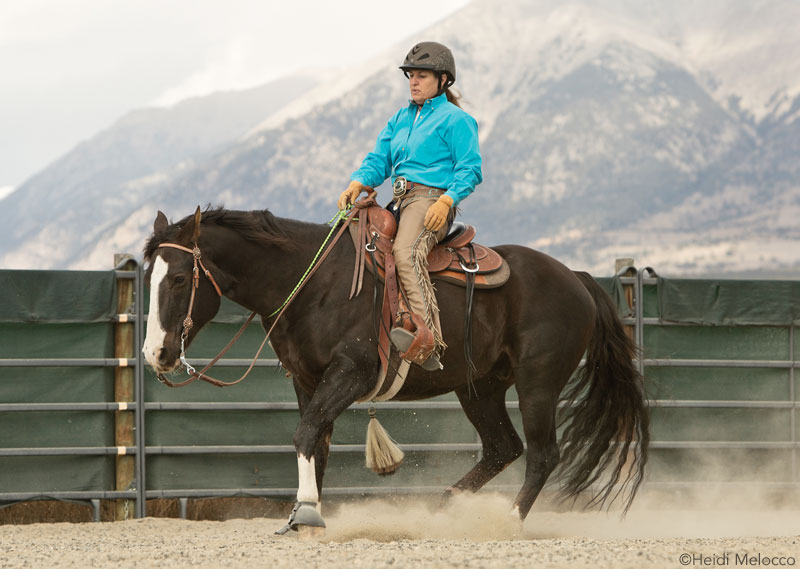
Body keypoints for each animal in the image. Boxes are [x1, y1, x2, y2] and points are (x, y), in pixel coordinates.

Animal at [141, 205, 648, 532]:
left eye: (181, 279)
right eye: (149, 278)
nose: (154, 354)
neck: (313, 283)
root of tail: (575, 278)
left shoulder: (352, 373)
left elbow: (305, 435)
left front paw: (306, 512)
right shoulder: (307, 381)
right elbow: (316, 442)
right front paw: (306, 514)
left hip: (537, 383)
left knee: (543, 454)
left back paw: (506, 521)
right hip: (480, 387)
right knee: (503, 447)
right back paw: (444, 510)